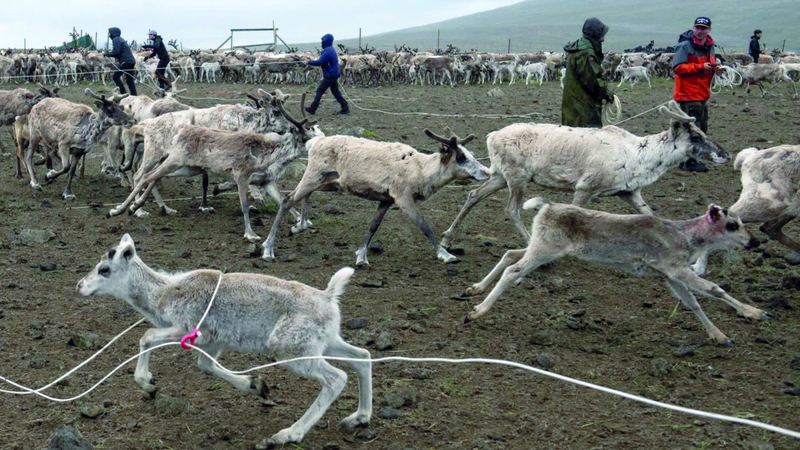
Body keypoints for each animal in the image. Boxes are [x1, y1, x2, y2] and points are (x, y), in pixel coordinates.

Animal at [78, 234, 372, 444]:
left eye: (104, 269)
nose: (80, 285)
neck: (161, 296)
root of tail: (329, 297)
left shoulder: (189, 329)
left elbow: (147, 336)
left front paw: (148, 383)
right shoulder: (213, 342)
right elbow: (206, 366)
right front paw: (256, 385)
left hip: (291, 349)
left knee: (336, 377)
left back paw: (290, 434)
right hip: (327, 341)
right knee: (363, 357)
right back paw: (359, 417)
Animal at [466, 199, 764, 346]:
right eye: (733, 225)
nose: (755, 242)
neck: (686, 237)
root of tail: (545, 207)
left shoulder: (668, 275)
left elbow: (691, 302)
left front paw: (719, 335)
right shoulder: (675, 268)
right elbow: (714, 289)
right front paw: (754, 312)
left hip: (542, 247)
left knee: (509, 254)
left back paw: (476, 288)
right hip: (545, 249)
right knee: (512, 269)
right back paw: (478, 311)